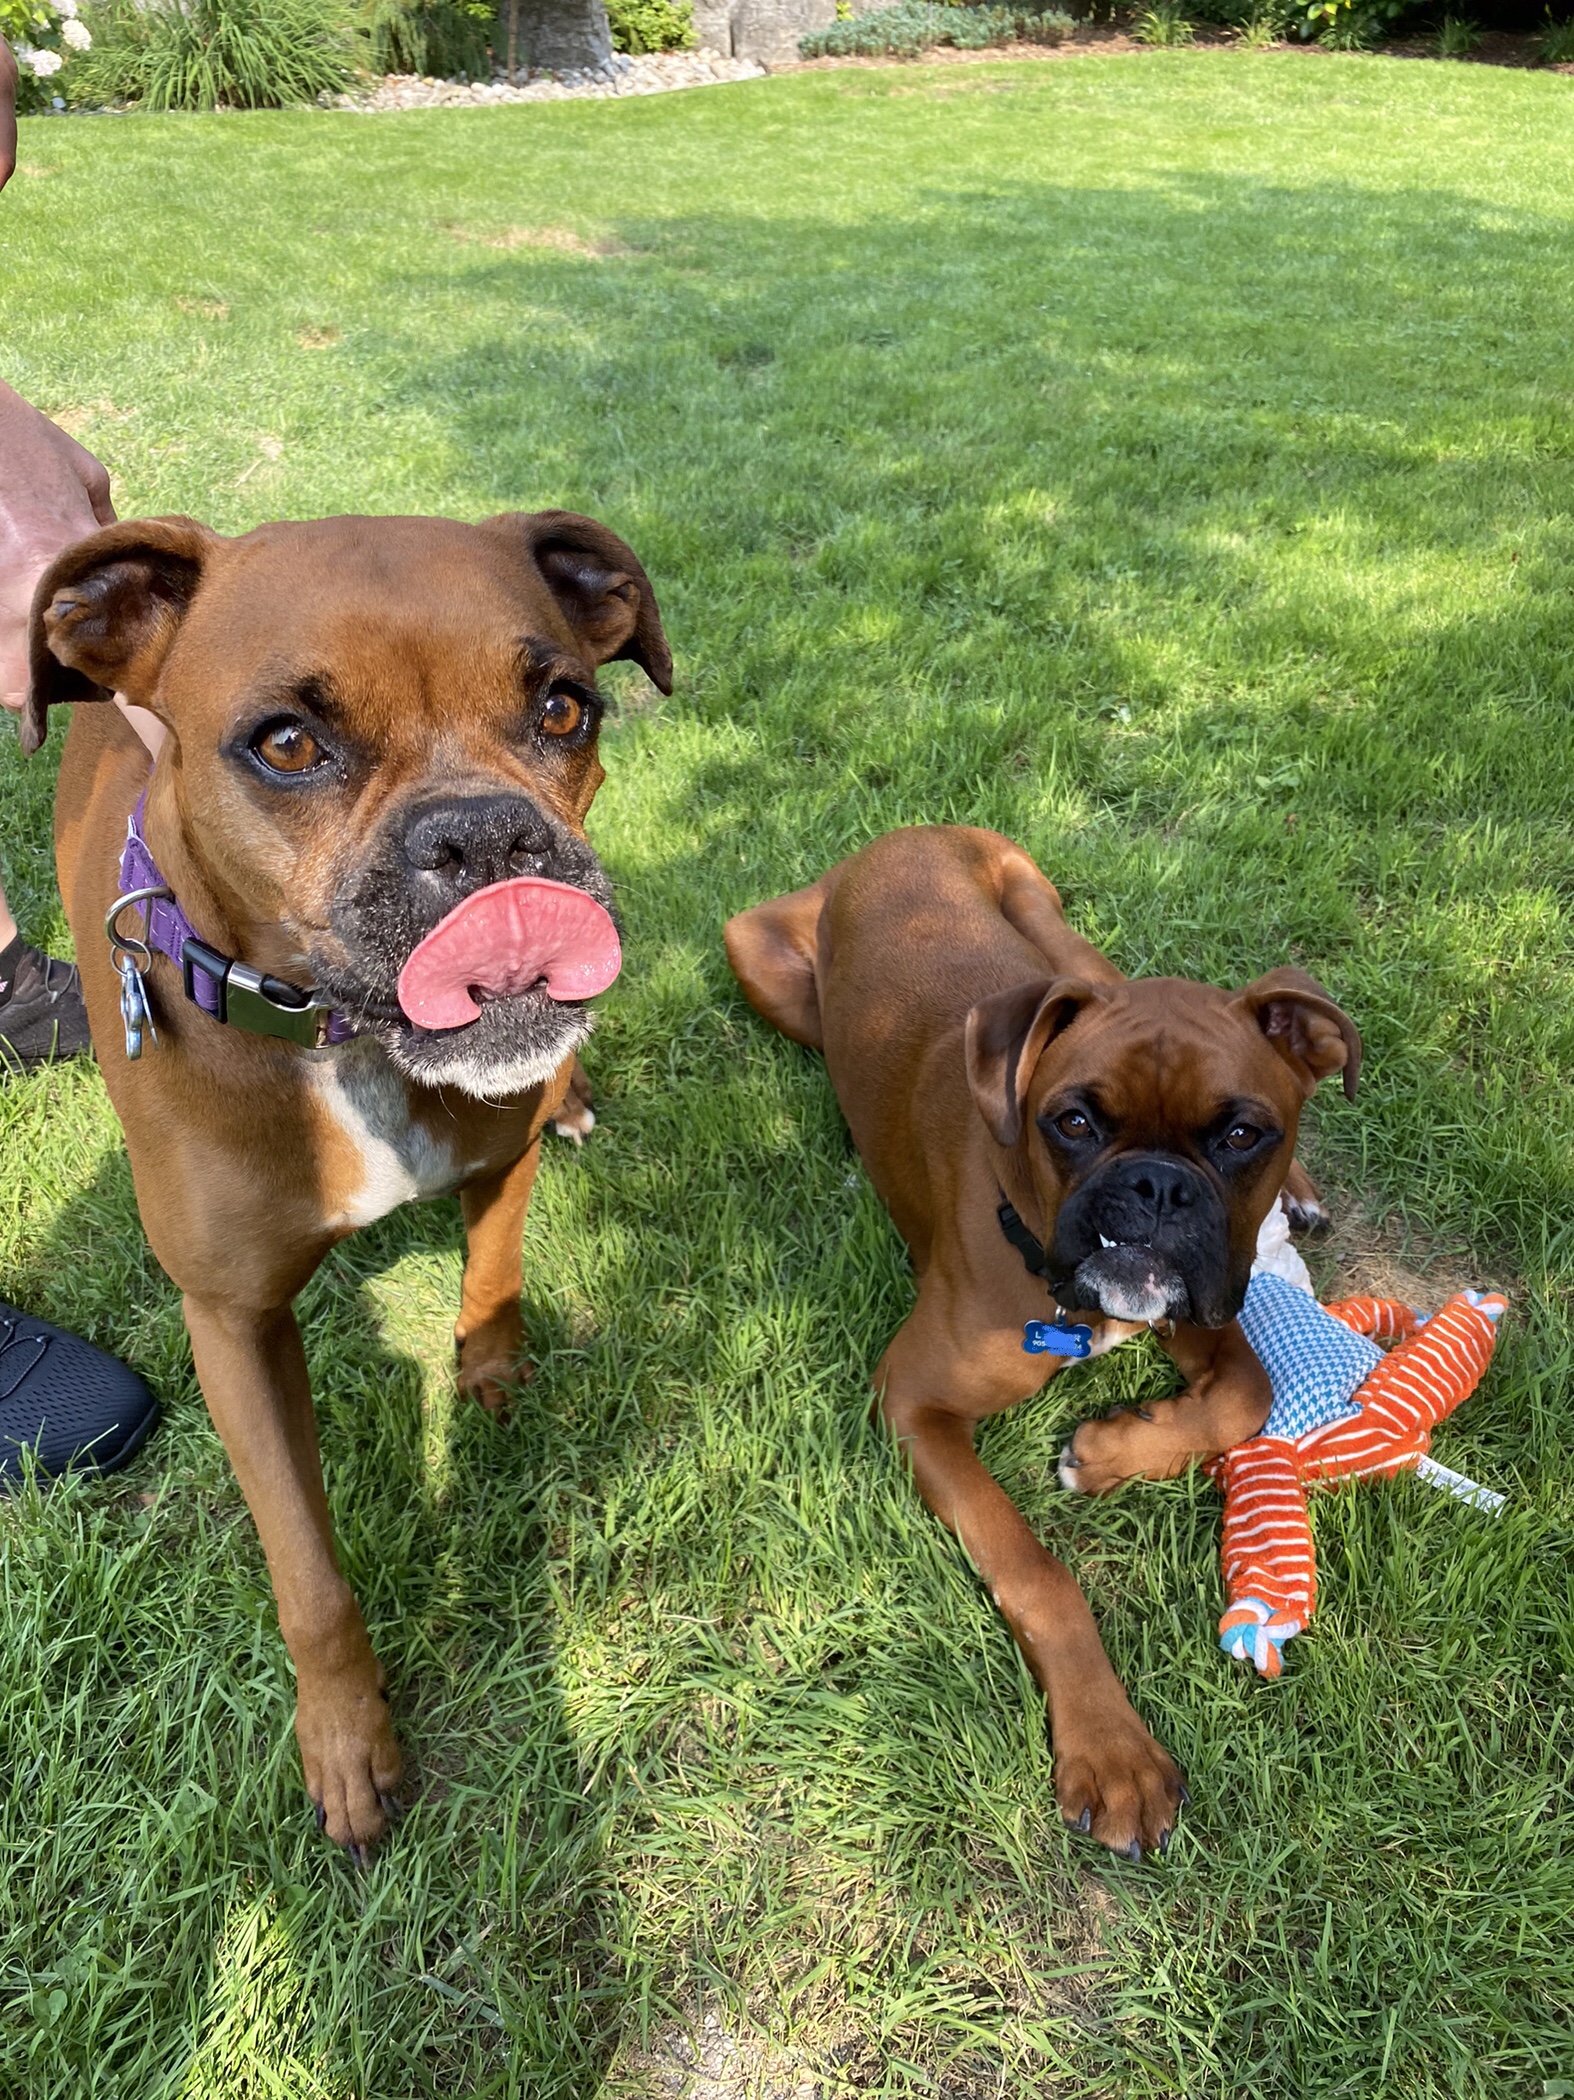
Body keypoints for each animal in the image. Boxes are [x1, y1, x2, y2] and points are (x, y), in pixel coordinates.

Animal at [23, 508, 671, 1856]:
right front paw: (345, 1740)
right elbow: (308, 1575)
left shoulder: (498, 1157)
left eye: (565, 709)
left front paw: (490, 1378)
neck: (348, 1048)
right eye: (286, 743)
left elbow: (492, 1275)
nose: (484, 836)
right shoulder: (232, 1327)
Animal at [726, 827, 1359, 1864]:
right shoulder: (914, 1400)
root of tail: (897, 835)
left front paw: (1106, 1451)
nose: (1154, 1188)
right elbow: (1038, 1572)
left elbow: (1247, 1394)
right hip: (763, 967)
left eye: (1240, 1134)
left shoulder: (1200, 1319)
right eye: (1073, 1122)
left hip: (1068, 946)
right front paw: (1113, 1752)